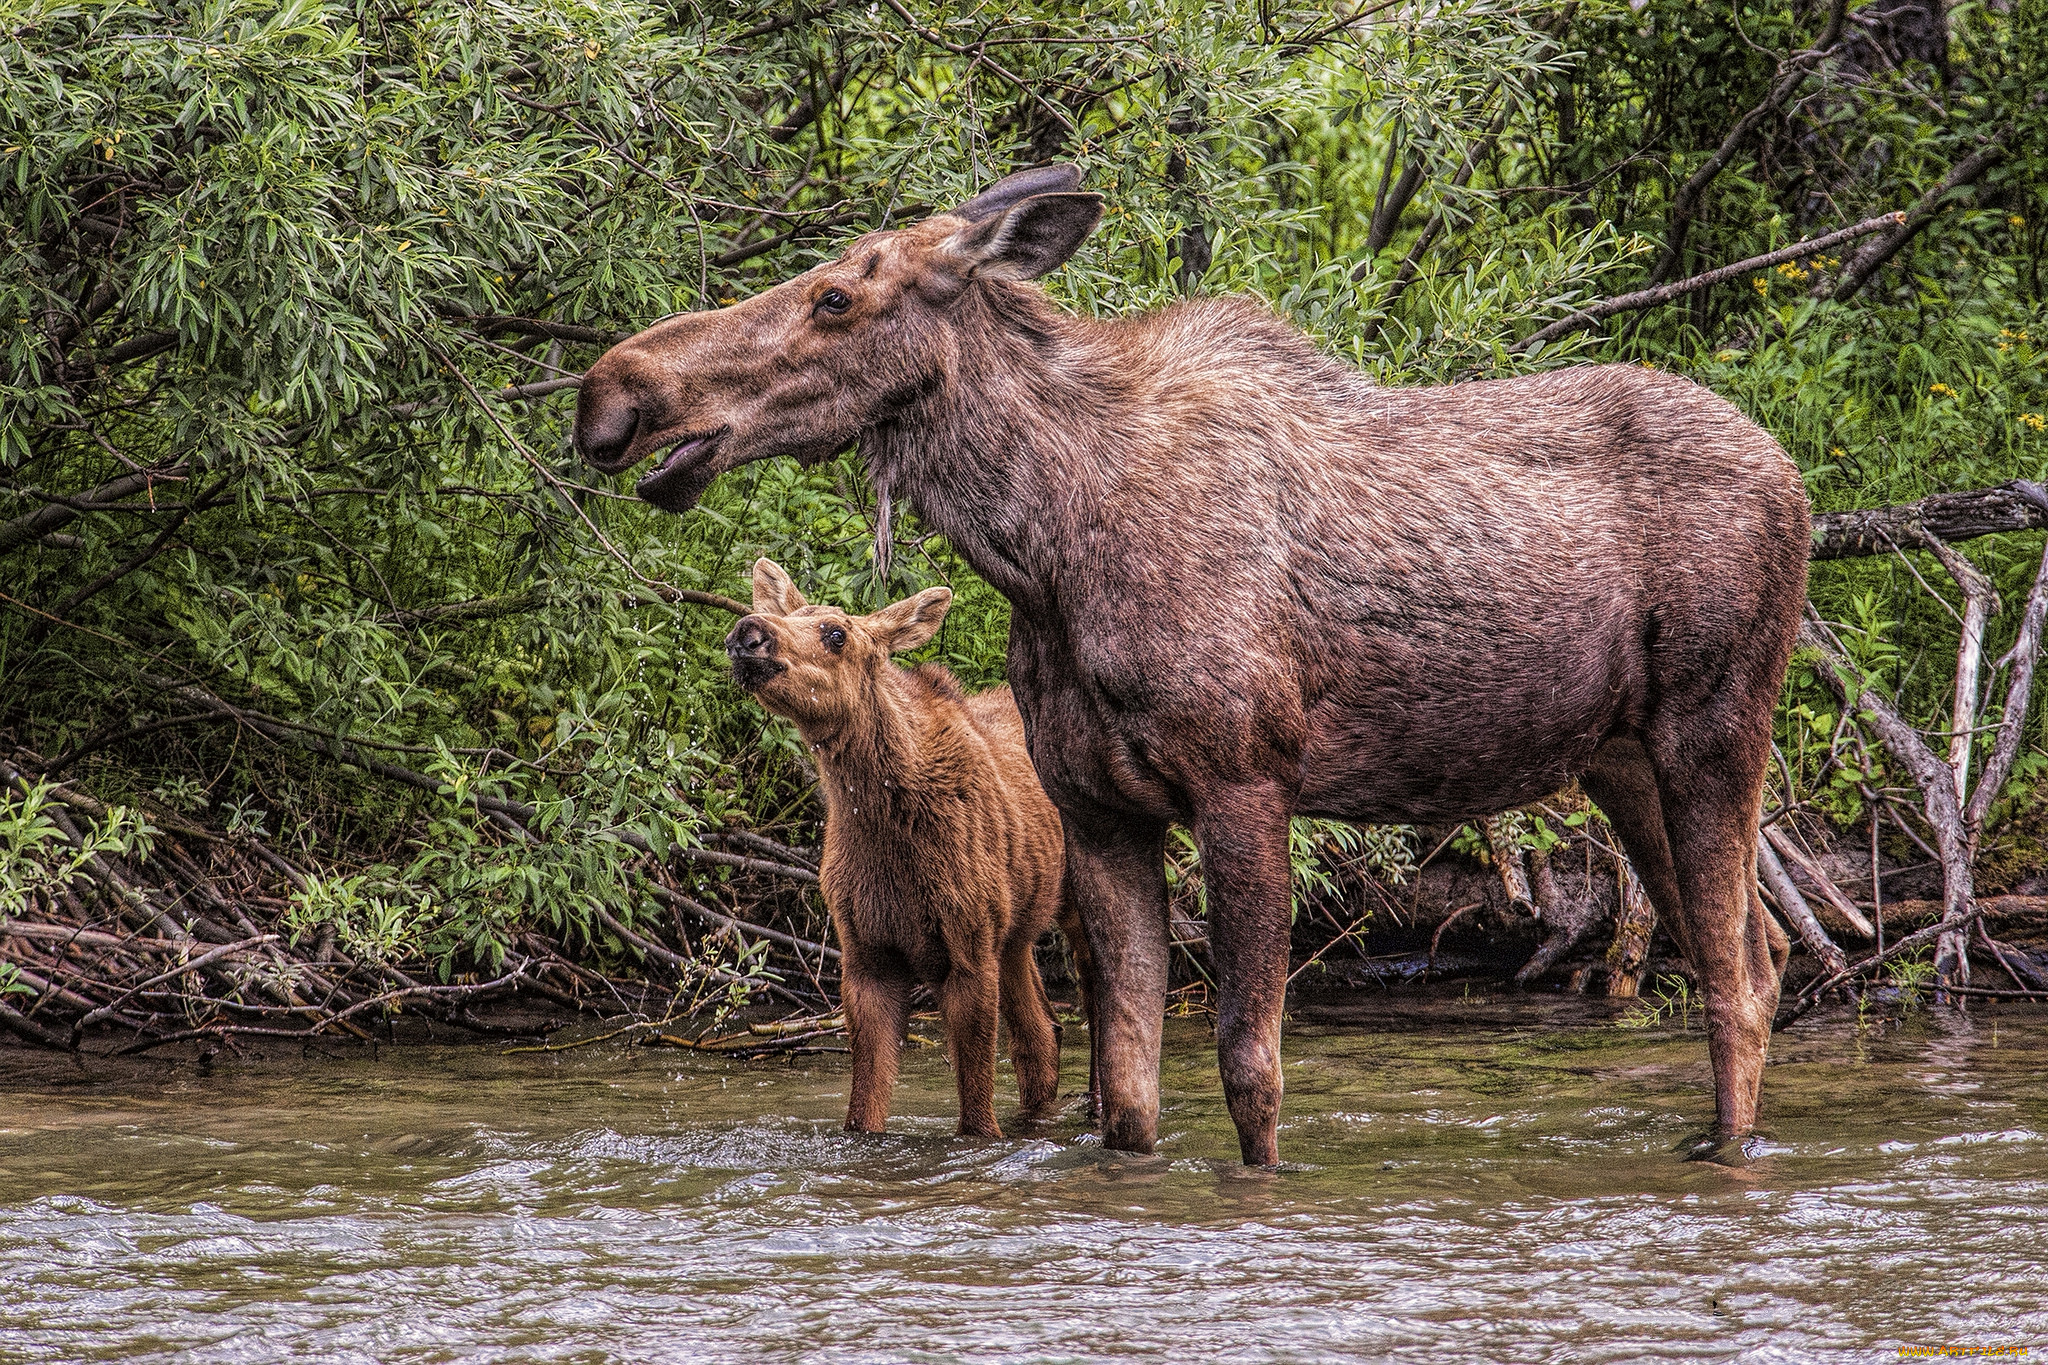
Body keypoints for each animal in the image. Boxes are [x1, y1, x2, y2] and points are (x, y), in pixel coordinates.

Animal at [729, 560, 1097, 1137]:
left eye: (837, 633)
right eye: (794, 614)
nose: (750, 632)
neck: (889, 838)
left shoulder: (968, 949)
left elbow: (976, 1114)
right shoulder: (866, 955)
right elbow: (864, 1109)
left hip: (1076, 902)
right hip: (1015, 933)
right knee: (1043, 1034)